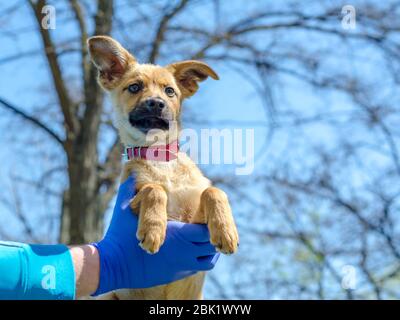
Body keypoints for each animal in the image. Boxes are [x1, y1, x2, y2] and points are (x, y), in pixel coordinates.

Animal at [87, 35, 238, 300]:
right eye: (134, 87)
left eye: (169, 91)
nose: (156, 103)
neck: (161, 160)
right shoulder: (133, 199)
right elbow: (154, 189)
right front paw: (153, 229)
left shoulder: (195, 222)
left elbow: (213, 191)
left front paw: (225, 230)